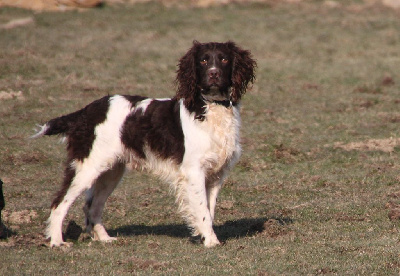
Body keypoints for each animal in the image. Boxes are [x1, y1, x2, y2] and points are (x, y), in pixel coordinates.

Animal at [32, 40, 255, 247]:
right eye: (203, 60)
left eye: (224, 59)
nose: (213, 74)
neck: (211, 107)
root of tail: (85, 112)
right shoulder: (194, 171)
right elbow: (203, 212)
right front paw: (210, 241)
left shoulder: (215, 175)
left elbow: (209, 210)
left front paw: (204, 237)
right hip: (87, 166)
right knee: (59, 202)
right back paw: (57, 242)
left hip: (111, 170)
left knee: (92, 206)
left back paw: (104, 239)